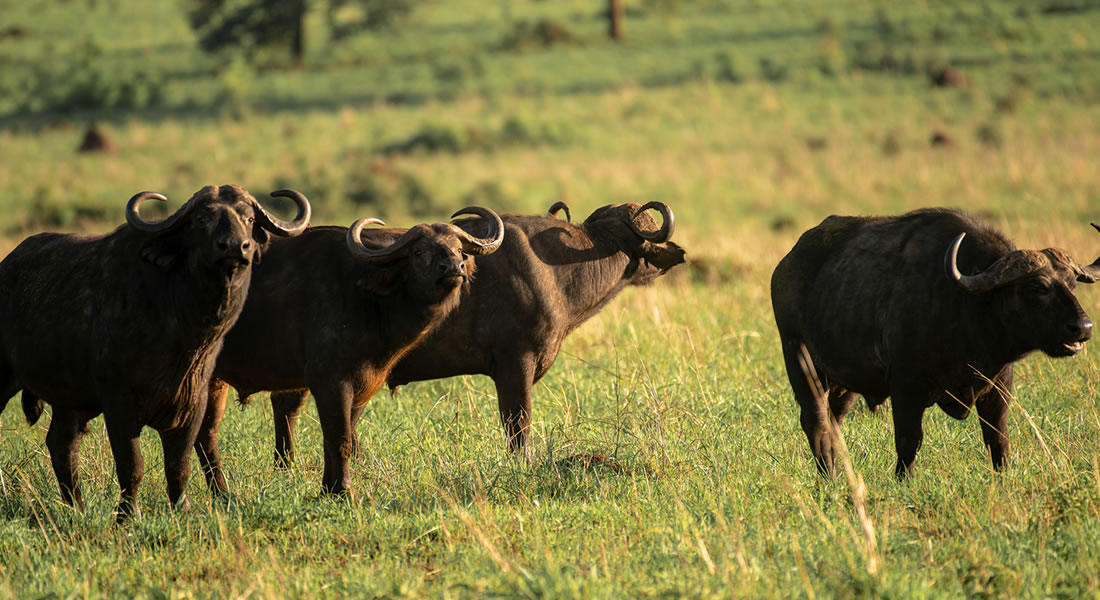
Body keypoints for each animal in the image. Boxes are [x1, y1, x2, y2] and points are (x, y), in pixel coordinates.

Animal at [1, 184, 310, 517]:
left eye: (249, 218)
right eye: (201, 219)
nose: (234, 247)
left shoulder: (194, 400)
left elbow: (179, 465)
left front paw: (182, 509)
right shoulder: (118, 399)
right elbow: (131, 464)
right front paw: (127, 515)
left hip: (69, 399)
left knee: (61, 443)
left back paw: (77, 508)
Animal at [195, 205, 503, 495]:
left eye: (459, 248)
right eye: (419, 252)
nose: (454, 267)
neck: (368, 300)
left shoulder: (363, 384)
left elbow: (333, 439)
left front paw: (328, 490)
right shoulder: (330, 381)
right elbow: (340, 439)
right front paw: (344, 491)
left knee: (205, 433)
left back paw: (221, 494)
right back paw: (221, 492)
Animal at [770, 206, 1095, 477]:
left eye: (1072, 284)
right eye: (1037, 287)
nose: (1083, 327)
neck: (967, 308)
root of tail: (785, 265)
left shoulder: (998, 385)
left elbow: (998, 438)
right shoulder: (905, 386)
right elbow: (909, 439)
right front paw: (903, 480)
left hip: (844, 384)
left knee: (833, 423)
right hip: (801, 362)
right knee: (816, 423)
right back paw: (828, 476)